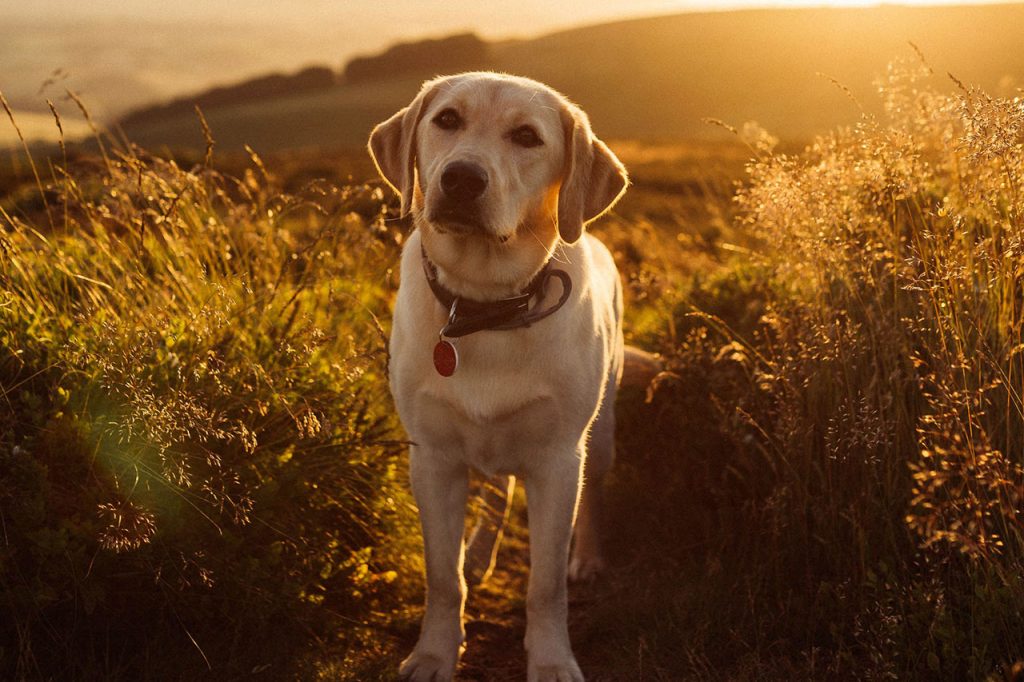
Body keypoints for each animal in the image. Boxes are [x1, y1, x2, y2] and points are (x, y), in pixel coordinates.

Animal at [368, 71, 622, 675]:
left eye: (527, 136)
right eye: (447, 120)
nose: (461, 178)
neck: (483, 305)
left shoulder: (557, 460)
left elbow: (546, 586)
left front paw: (551, 661)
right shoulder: (432, 457)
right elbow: (443, 578)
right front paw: (434, 654)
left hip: (599, 435)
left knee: (594, 498)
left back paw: (589, 559)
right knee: (497, 492)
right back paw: (481, 552)